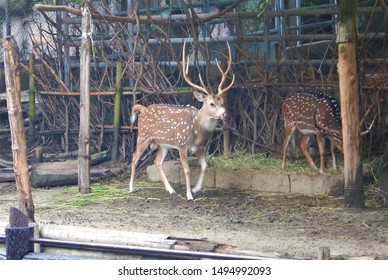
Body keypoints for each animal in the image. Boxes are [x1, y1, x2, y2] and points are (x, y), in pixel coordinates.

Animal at [129, 41, 235, 200]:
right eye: (211, 103)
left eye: (223, 102)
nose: (225, 114)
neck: (197, 130)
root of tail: (143, 109)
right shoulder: (182, 144)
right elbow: (187, 170)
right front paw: (189, 195)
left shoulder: (201, 147)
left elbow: (205, 167)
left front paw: (196, 189)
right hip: (143, 136)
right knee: (134, 157)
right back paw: (131, 188)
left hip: (163, 144)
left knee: (157, 161)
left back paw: (171, 189)